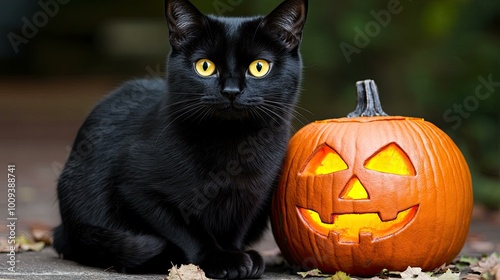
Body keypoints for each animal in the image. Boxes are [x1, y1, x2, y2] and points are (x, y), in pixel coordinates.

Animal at [52, 0, 306, 278]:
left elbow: (234, 230)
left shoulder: (252, 195)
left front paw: (238, 255)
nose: (231, 91)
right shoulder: (137, 190)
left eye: (259, 67)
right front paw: (221, 259)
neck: (233, 145)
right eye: (205, 66)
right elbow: (186, 230)